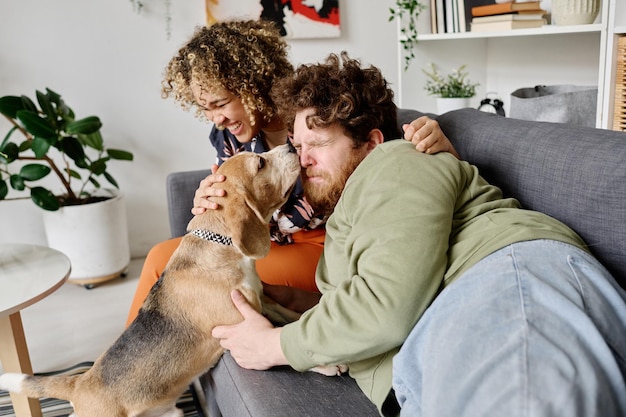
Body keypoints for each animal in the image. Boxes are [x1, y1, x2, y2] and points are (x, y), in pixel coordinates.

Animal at [0, 144, 322, 416]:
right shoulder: (243, 320)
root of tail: (80, 383)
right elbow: (276, 334)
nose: (291, 145)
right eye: (260, 162)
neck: (220, 246)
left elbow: (290, 317)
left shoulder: (264, 300)